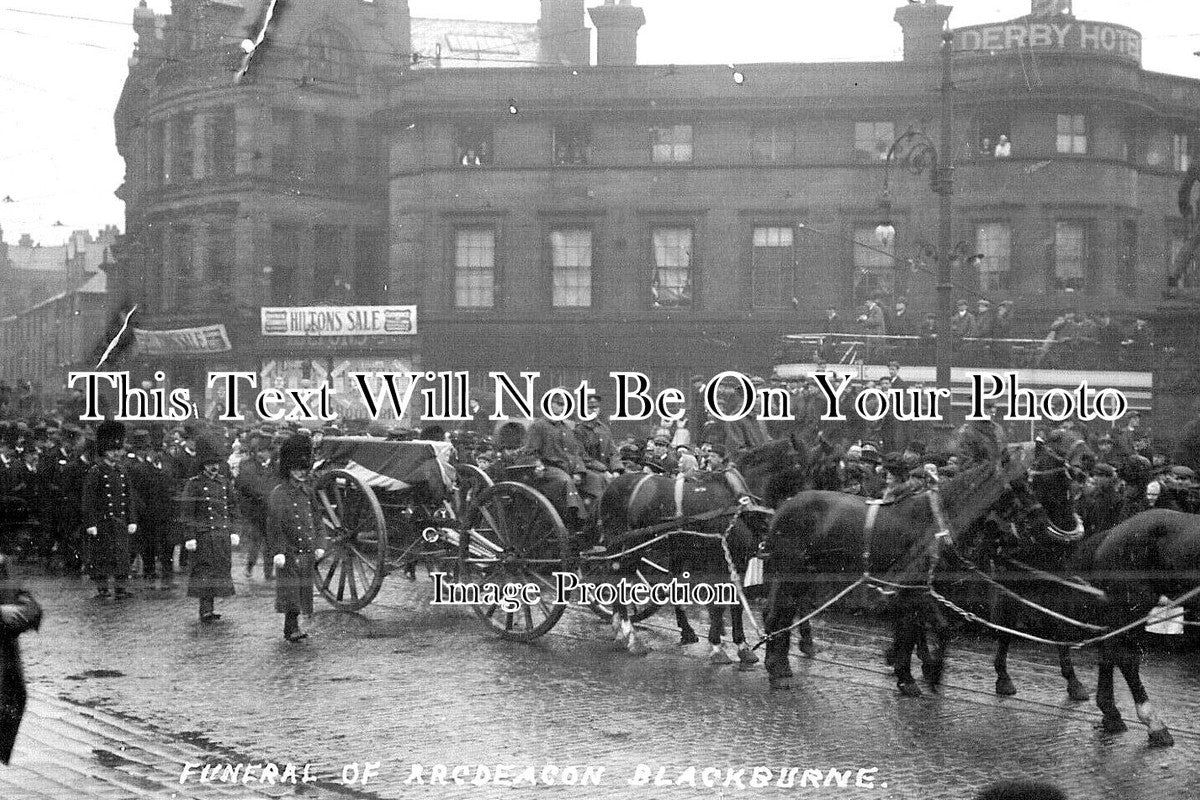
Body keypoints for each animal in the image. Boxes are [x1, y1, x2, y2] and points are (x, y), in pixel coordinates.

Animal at [595, 431, 811, 662]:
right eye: (800, 465)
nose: (809, 503)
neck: (737, 499)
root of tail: (614, 483)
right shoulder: (718, 558)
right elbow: (719, 604)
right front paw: (717, 646)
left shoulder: (738, 560)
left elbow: (736, 603)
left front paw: (742, 646)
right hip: (630, 545)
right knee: (619, 578)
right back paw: (631, 637)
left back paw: (619, 628)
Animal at [763, 443, 1036, 695]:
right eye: (1013, 484)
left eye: (1028, 480)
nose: (1030, 528)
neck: (934, 521)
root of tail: (783, 507)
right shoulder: (913, 587)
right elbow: (916, 632)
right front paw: (913, 676)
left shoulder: (916, 588)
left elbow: (922, 631)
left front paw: (922, 673)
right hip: (789, 571)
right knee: (777, 614)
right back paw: (777, 671)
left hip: (806, 574)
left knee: (783, 613)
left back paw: (780, 665)